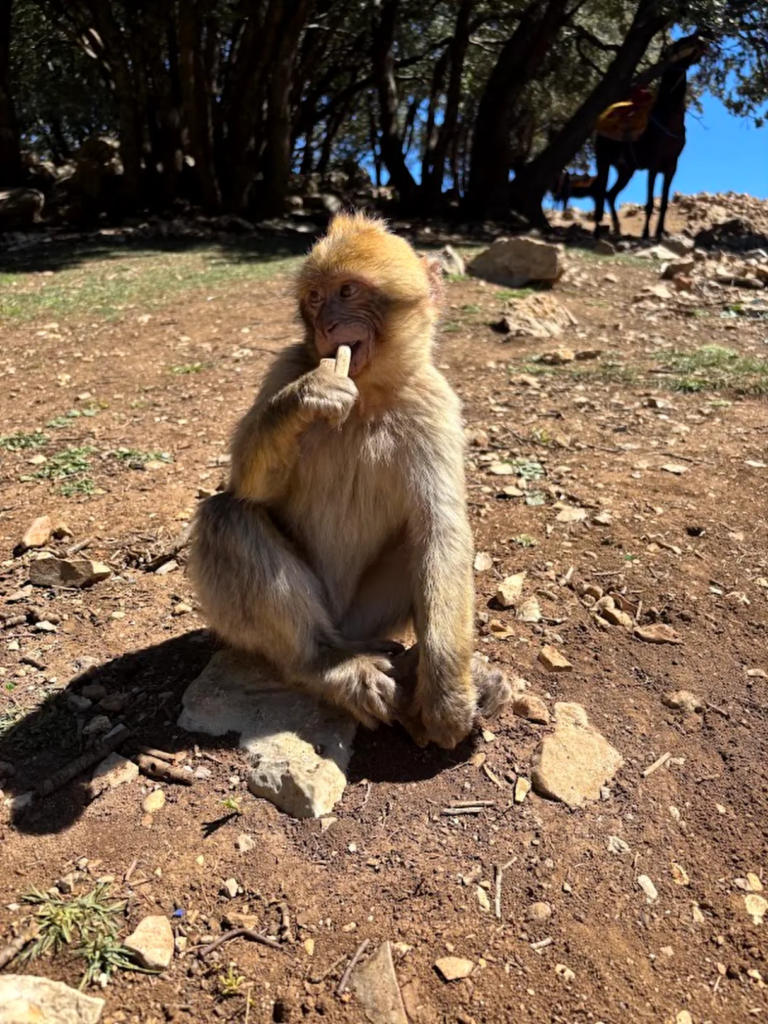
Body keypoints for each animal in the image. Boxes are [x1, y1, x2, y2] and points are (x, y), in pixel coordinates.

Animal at [189, 212, 511, 749]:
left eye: (347, 291)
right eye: (316, 297)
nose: (326, 326)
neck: (366, 396)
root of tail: (344, 629)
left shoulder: (434, 401)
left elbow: (440, 531)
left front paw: (447, 694)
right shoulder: (286, 364)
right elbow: (250, 489)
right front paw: (308, 397)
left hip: (364, 615)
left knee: (418, 542)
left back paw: (427, 671)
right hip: (299, 619)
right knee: (226, 516)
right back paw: (326, 662)